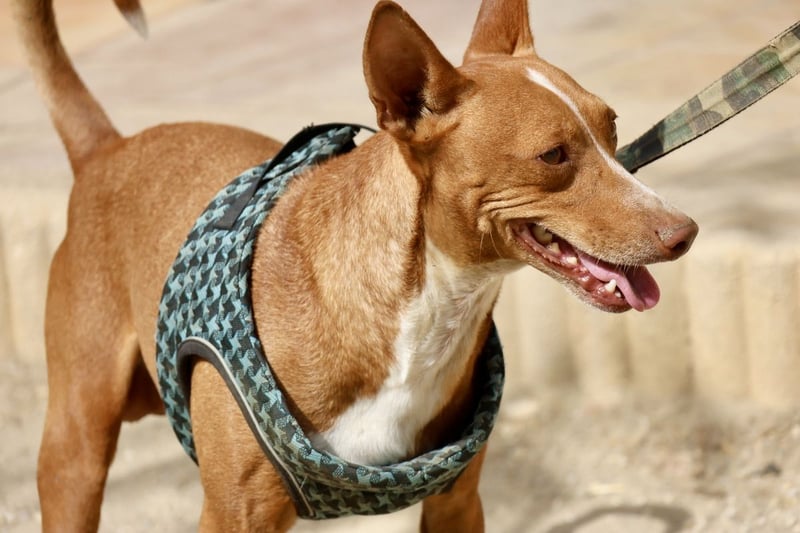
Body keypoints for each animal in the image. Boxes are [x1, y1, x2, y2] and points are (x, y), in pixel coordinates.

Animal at [14, 0, 697, 530]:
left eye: (613, 128)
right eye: (553, 156)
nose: (683, 233)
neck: (427, 309)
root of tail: (109, 149)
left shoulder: (457, 504)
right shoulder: (234, 515)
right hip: (76, 451)